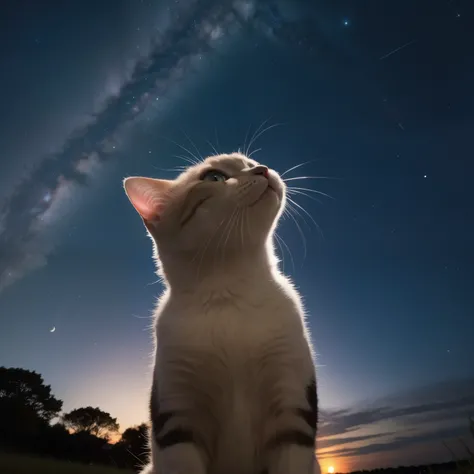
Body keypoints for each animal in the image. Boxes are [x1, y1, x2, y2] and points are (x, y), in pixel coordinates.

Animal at [124, 153, 320, 474]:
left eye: (249, 161)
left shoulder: (293, 407)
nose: (262, 168)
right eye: (213, 177)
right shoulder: (178, 417)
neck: (230, 291)